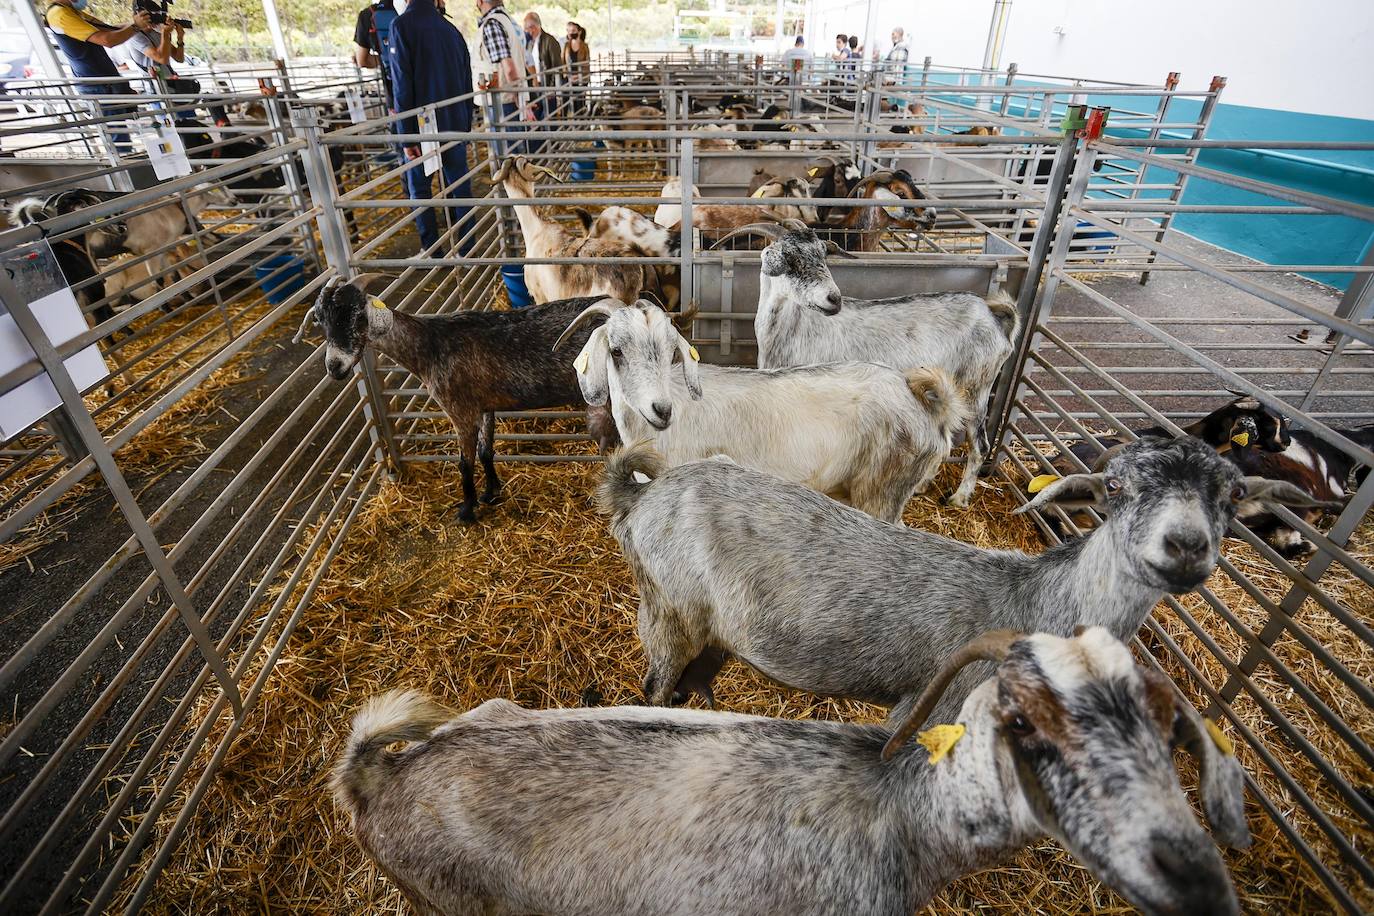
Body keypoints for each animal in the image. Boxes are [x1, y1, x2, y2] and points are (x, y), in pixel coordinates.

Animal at [306, 274, 623, 521]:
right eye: (320, 320)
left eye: (359, 316)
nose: (335, 367)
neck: (429, 346)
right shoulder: (484, 406)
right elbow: (486, 451)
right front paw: (491, 493)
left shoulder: (459, 409)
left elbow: (464, 463)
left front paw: (467, 510)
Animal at [601, 436, 1330, 725]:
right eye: (1117, 487)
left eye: (1234, 496)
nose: (1185, 545)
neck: (1041, 600)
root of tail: (643, 495)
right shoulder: (930, 705)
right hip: (666, 608)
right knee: (658, 684)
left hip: (716, 632)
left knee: (694, 683)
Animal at [725, 222, 1016, 508]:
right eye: (789, 259)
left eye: (823, 255)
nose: (834, 299)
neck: (795, 328)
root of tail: (993, 317)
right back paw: (923, 485)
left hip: (976, 389)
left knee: (979, 446)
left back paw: (959, 498)